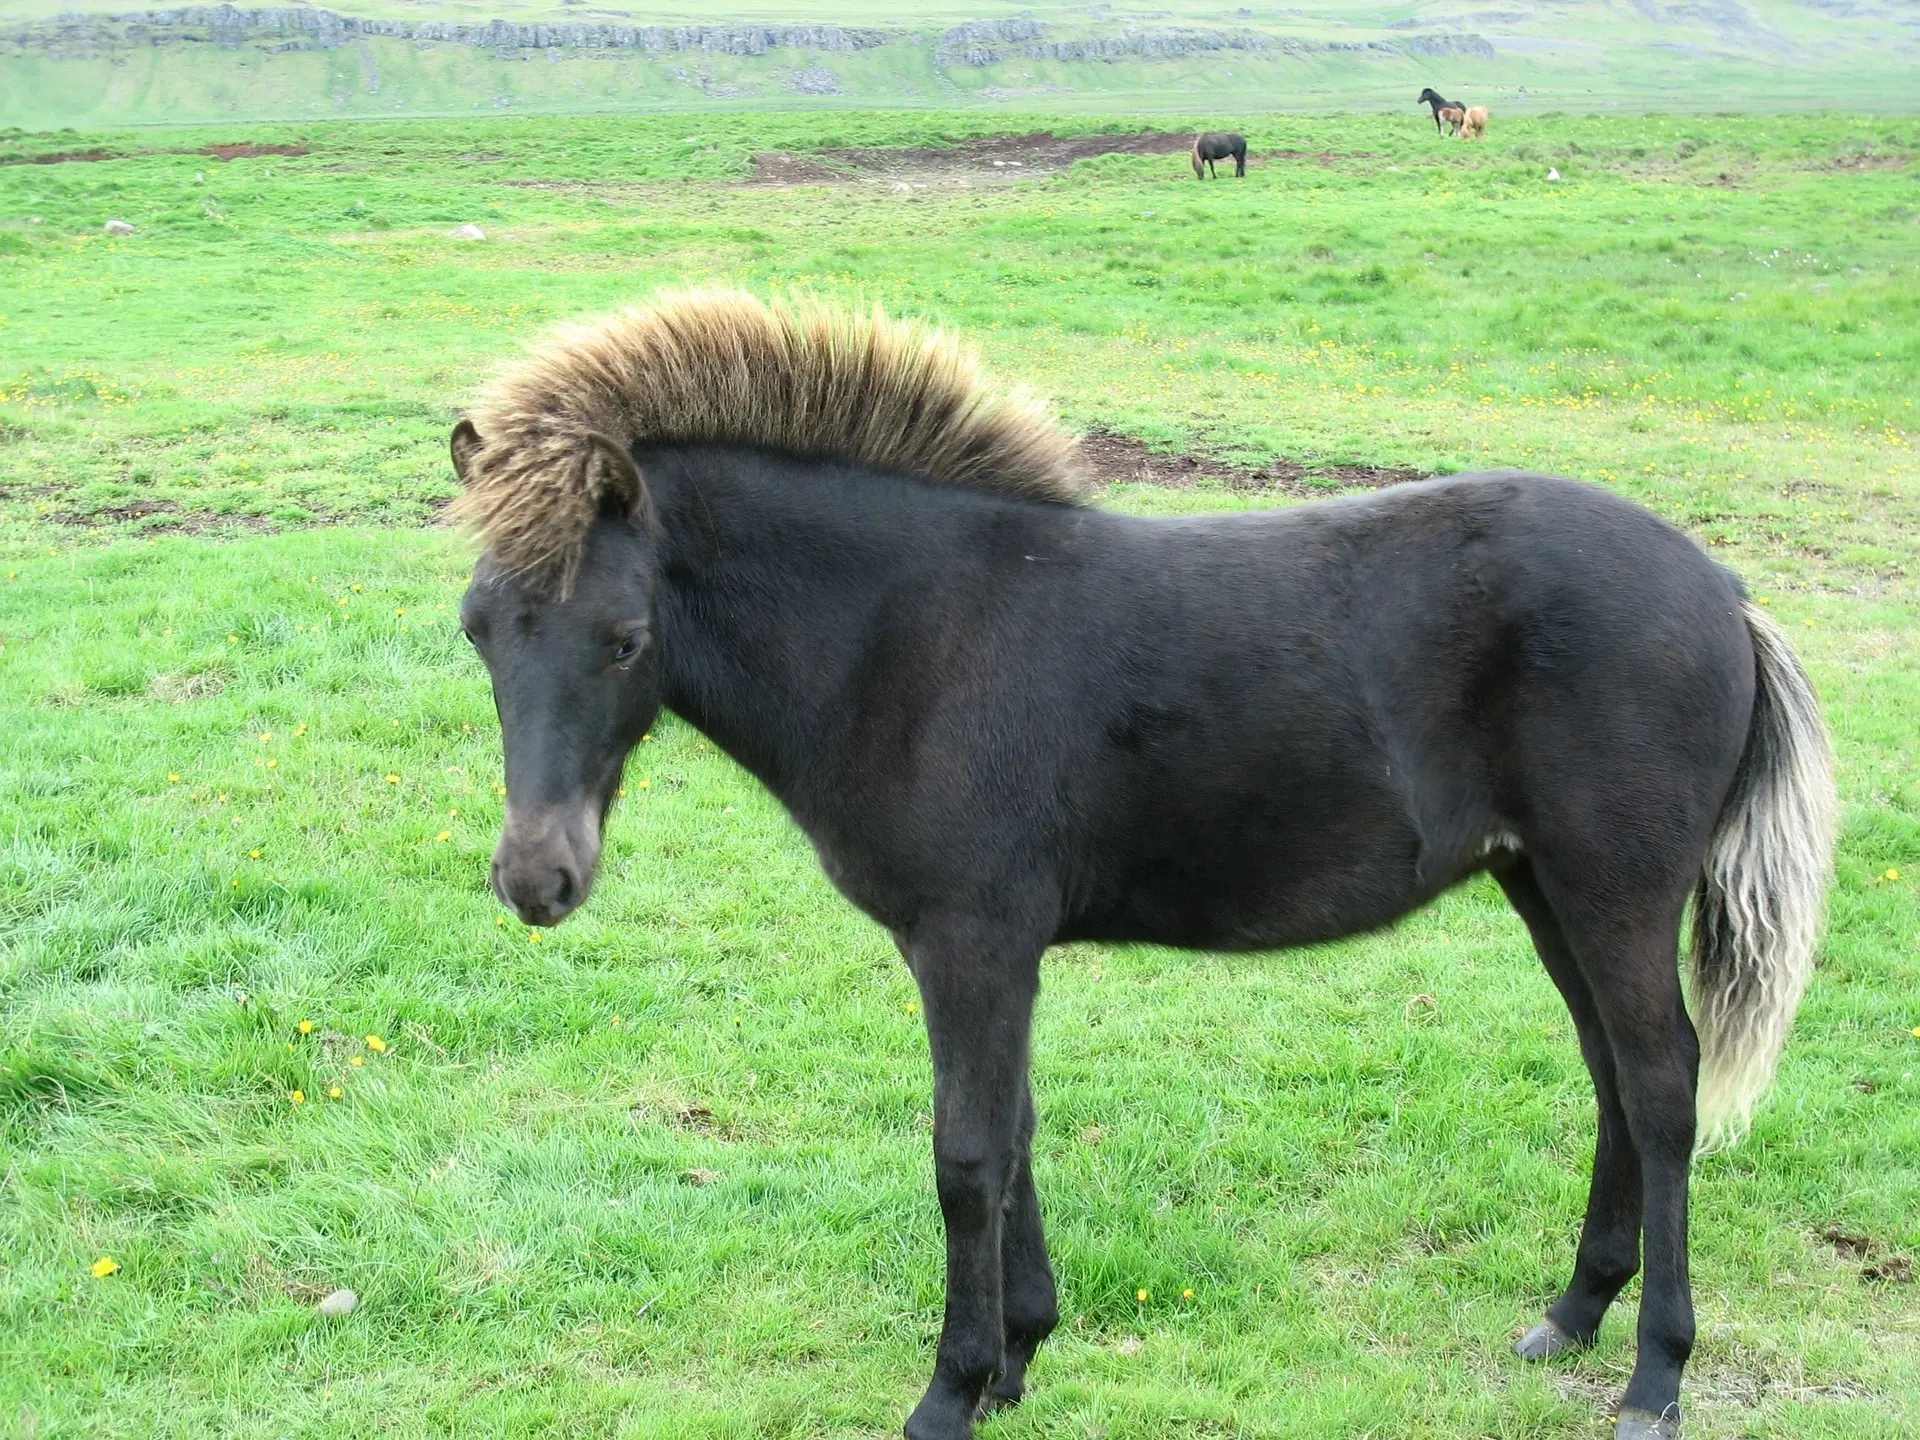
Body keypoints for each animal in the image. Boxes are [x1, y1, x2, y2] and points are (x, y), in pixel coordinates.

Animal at [453, 289, 1843, 1440]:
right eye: (475, 629)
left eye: (625, 638)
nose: (535, 880)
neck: (913, 637)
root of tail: (1725, 592)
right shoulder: (989, 948)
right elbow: (1013, 1131)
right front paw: (1019, 1358)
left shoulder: (971, 939)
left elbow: (966, 1157)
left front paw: (950, 1394)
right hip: (1542, 881)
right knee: (1612, 1075)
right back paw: (1572, 1315)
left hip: (1616, 886)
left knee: (1662, 1089)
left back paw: (1654, 1377)